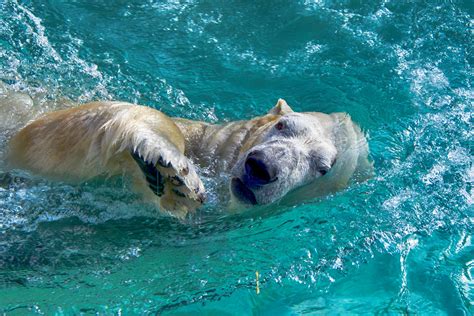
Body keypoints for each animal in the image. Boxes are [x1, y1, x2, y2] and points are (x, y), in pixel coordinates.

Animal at [5, 98, 372, 217]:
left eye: (322, 168)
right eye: (283, 125)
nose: (262, 167)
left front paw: (172, 184)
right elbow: (39, 134)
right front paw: (171, 168)